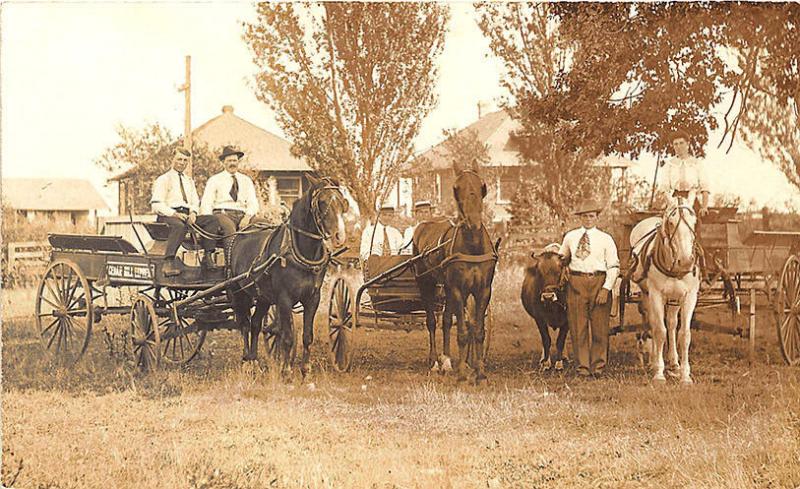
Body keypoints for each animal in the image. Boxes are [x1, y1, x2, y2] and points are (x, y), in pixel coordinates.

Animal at [227, 173, 348, 376]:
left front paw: (305, 369)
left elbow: (307, 336)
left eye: (342, 202)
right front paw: (286, 371)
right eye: (322, 202)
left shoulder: (313, 298)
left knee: (255, 324)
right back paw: (246, 360)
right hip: (239, 292)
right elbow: (288, 336)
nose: (340, 236)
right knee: (243, 324)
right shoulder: (284, 299)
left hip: (263, 297)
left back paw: (255, 359)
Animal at [416, 170, 496, 384]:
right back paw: (435, 361)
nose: (473, 222)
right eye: (456, 188)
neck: (473, 246)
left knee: (445, 320)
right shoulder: (459, 289)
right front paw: (462, 373)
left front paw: (478, 371)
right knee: (432, 321)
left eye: (482, 186)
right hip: (425, 283)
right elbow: (462, 331)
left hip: (447, 287)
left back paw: (446, 361)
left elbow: (476, 328)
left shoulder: (482, 290)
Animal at [632, 198, 700, 386]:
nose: (686, 261)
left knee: (670, 323)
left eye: (694, 221)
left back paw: (674, 363)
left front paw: (684, 375)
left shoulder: (689, 296)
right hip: (647, 295)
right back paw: (653, 361)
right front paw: (659, 373)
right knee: (653, 325)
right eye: (670, 222)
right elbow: (659, 331)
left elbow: (684, 334)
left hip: (674, 299)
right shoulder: (656, 295)